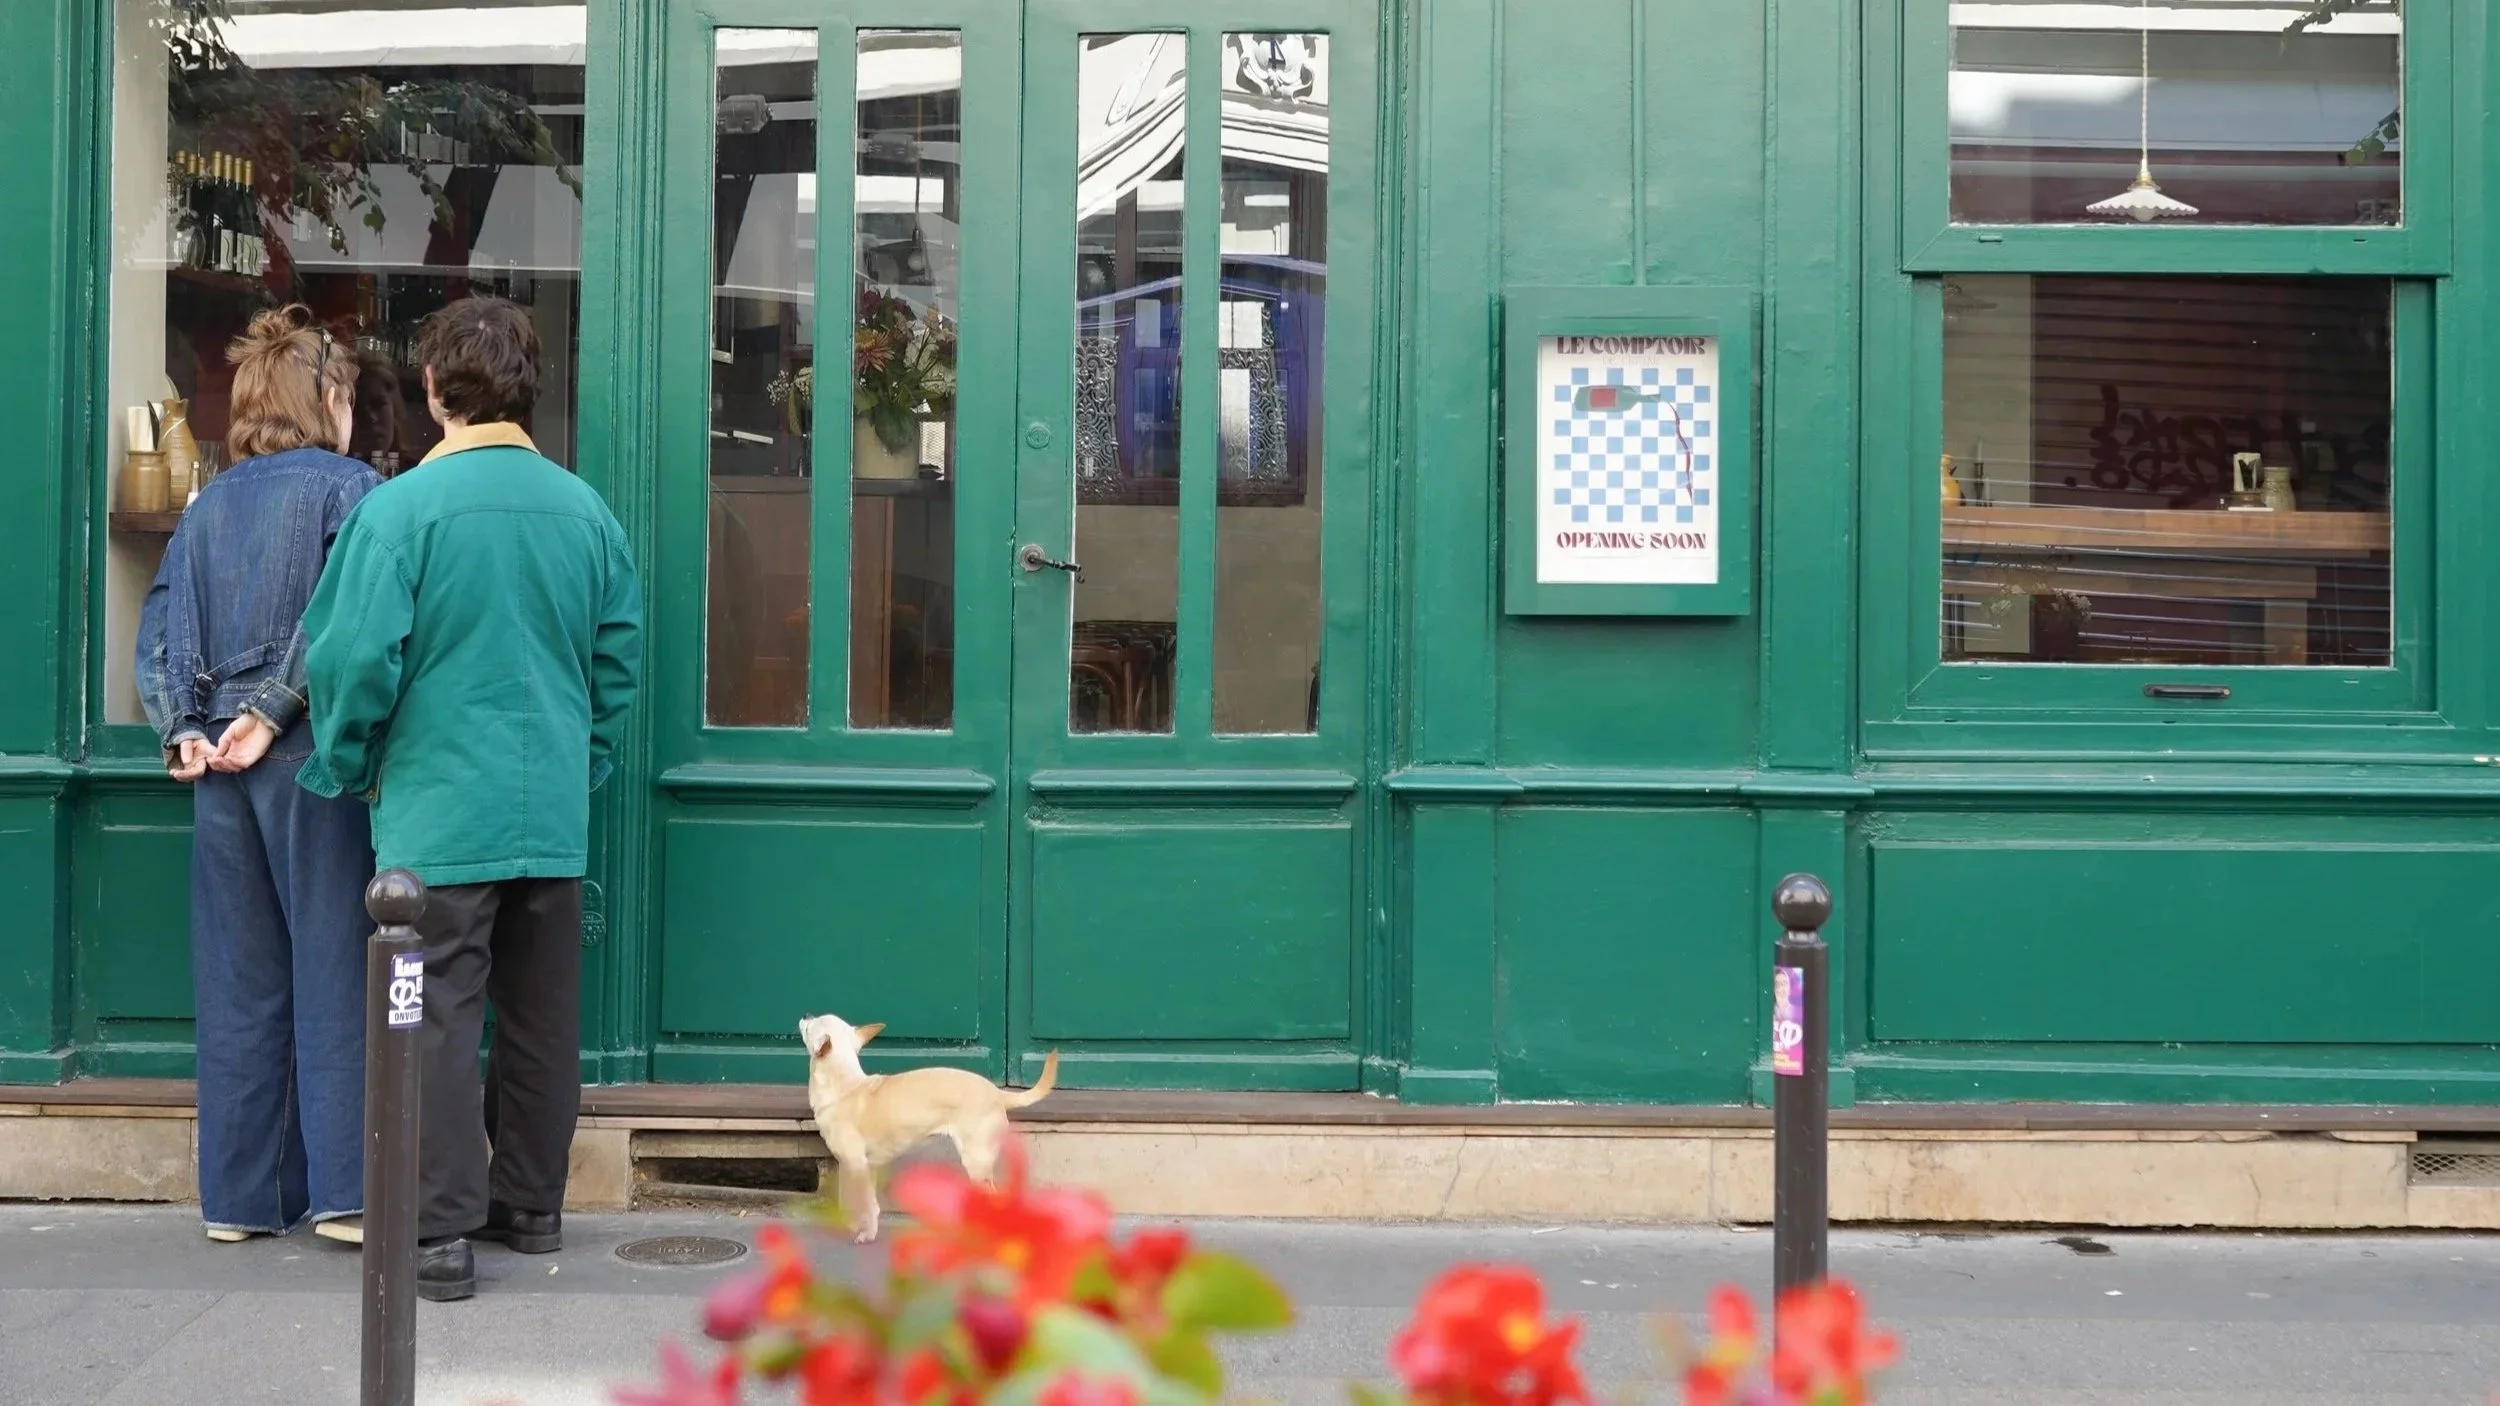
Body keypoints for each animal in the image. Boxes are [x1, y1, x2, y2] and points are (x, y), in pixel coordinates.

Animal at [798, 1013, 1060, 1243]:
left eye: (810, 1027)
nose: (805, 1014)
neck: (845, 1084)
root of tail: (997, 1093)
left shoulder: (855, 1165)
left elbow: (861, 1203)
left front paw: (861, 1232)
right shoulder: (869, 1167)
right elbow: (872, 1204)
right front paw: (867, 1230)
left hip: (976, 1163)